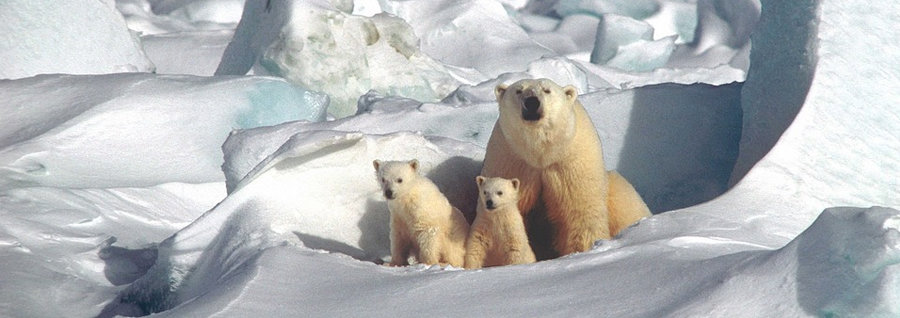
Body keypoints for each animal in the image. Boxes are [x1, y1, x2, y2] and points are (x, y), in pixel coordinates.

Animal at [482, 78, 652, 260]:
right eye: (518, 90)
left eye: (547, 90)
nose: (532, 102)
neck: (541, 154)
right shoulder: (512, 161)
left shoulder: (570, 163)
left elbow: (579, 212)